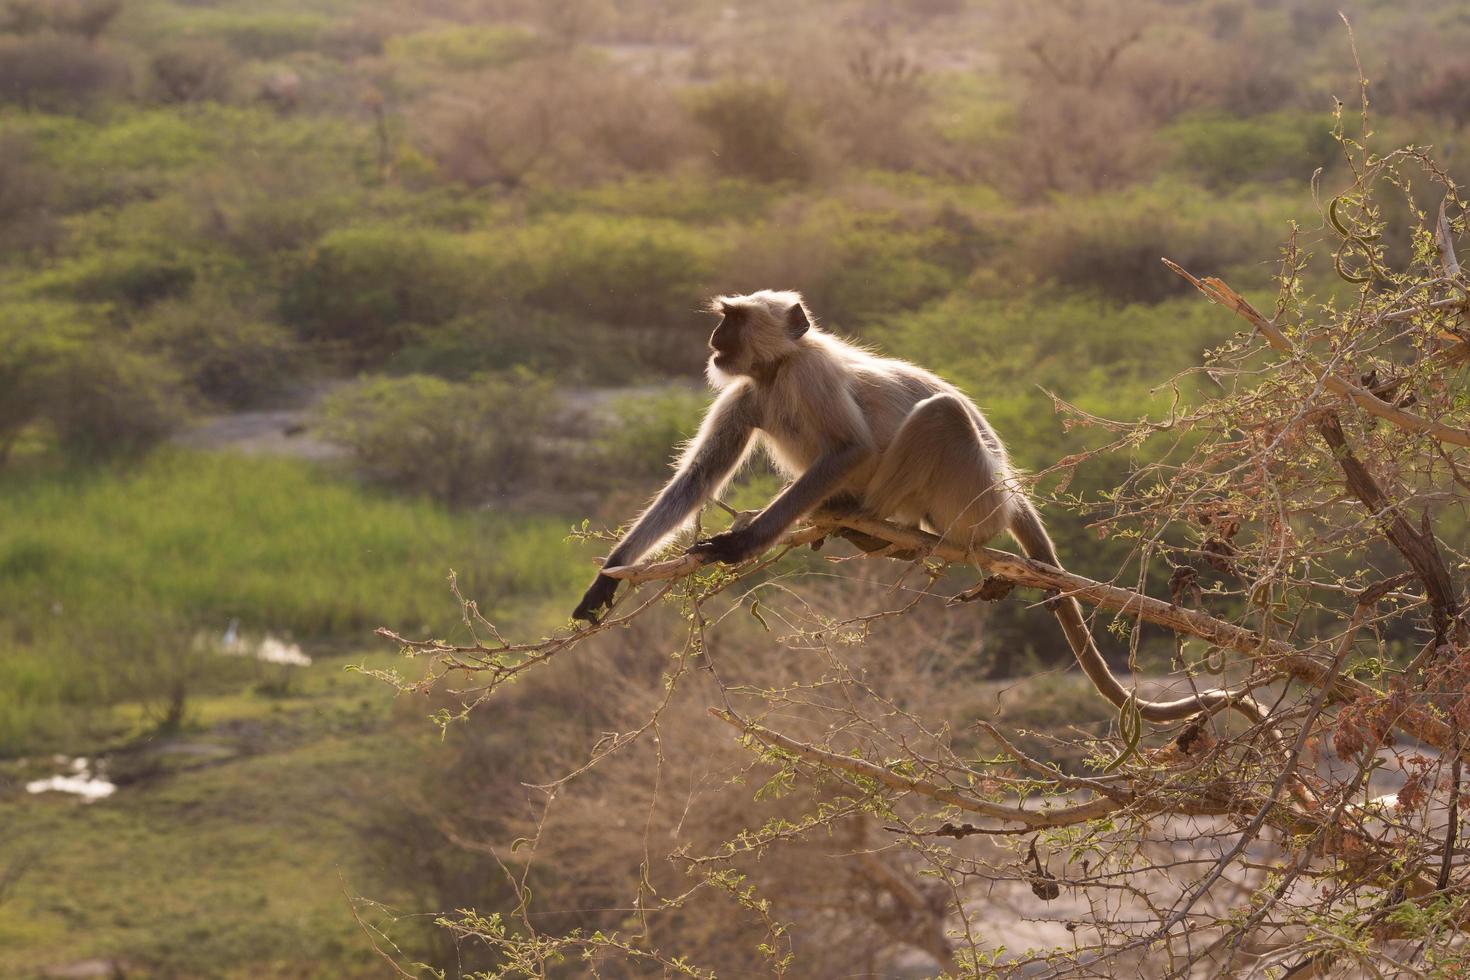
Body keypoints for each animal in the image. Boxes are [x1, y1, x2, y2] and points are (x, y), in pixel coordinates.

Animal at [573, 290, 1252, 728]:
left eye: (733, 322)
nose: (714, 340)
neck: (779, 370)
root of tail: (1010, 492)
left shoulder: (808, 375)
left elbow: (851, 447)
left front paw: (745, 543)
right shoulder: (748, 388)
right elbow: (694, 479)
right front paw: (605, 581)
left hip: (971, 500)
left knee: (942, 414)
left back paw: (866, 525)